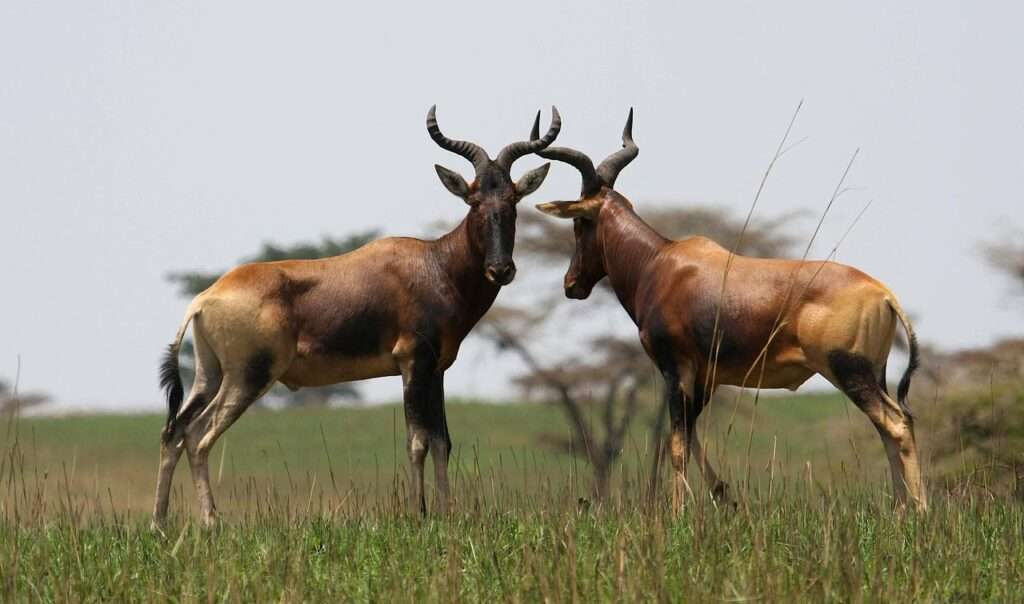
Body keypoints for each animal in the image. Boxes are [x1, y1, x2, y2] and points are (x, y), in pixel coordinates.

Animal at [153, 106, 561, 528]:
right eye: (474, 200)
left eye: (512, 199)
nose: (501, 269)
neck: (434, 263)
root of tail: (204, 299)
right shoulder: (412, 363)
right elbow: (417, 441)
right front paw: (419, 515)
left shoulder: (436, 370)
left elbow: (442, 441)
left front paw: (446, 514)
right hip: (248, 376)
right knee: (200, 435)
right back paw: (210, 522)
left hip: (209, 374)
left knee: (175, 430)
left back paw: (160, 525)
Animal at [536, 111, 929, 513]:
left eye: (579, 221)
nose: (572, 284)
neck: (660, 263)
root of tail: (882, 294)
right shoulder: (705, 377)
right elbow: (691, 436)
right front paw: (723, 494)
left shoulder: (676, 368)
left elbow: (676, 444)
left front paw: (677, 512)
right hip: (874, 374)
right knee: (889, 428)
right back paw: (901, 510)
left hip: (847, 370)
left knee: (897, 424)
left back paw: (920, 511)